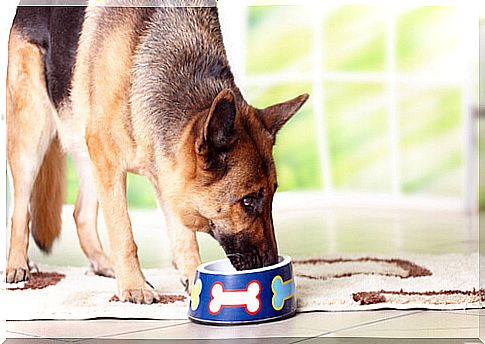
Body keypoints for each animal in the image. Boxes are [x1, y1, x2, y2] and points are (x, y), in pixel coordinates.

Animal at [5, 1, 308, 304]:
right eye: (247, 202)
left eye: (272, 196)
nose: (270, 263)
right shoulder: (111, 162)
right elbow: (123, 232)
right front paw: (134, 287)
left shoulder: (168, 173)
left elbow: (184, 237)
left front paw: (193, 279)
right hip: (32, 138)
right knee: (20, 211)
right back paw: (18, 265)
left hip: (86, 153)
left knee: (80, 213)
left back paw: (103, 265)